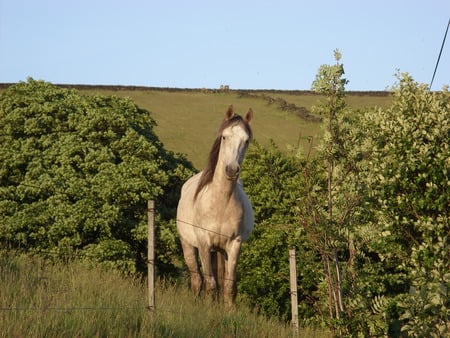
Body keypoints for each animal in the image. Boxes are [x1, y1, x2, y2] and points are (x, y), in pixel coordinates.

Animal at [176, 105, 253, 304]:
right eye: (224, 137)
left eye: (246, 140)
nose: (232, 170)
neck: (220, 203)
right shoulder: (204, 243)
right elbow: (210, 285)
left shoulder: (234, 244)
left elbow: (228, 286)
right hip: (189, 245)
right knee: (197, 279)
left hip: (219, 251)